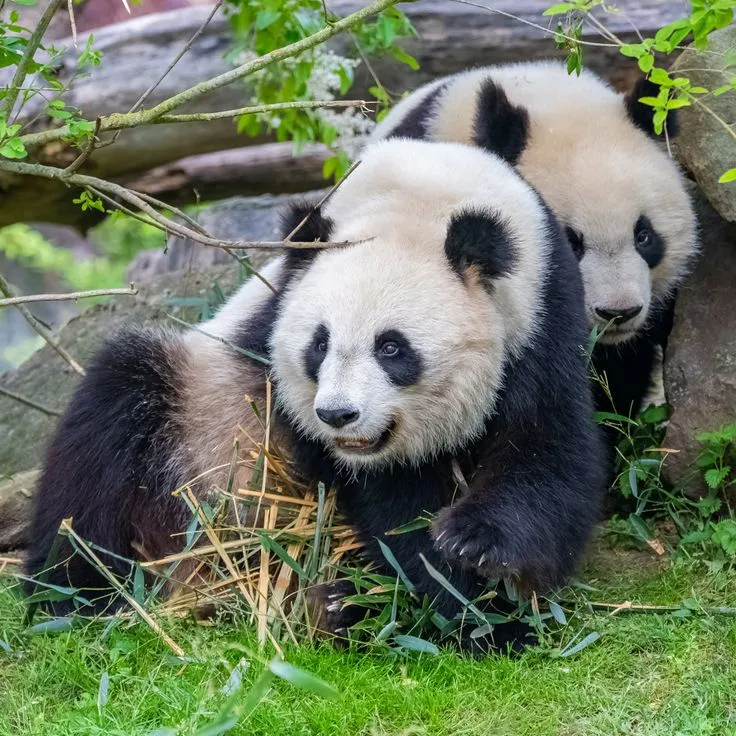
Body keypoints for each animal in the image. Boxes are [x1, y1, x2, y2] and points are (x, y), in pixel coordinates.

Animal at [26, 139, 605, 653]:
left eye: (391, 347)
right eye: (319, 343)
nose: (338, 415)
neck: (420, 196)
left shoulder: (543, 315)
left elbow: (549, 449)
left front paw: (478, 551)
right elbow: (394, 509)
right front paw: (466, 606)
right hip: (192, 418)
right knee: (104, 436)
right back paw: (75, 595)